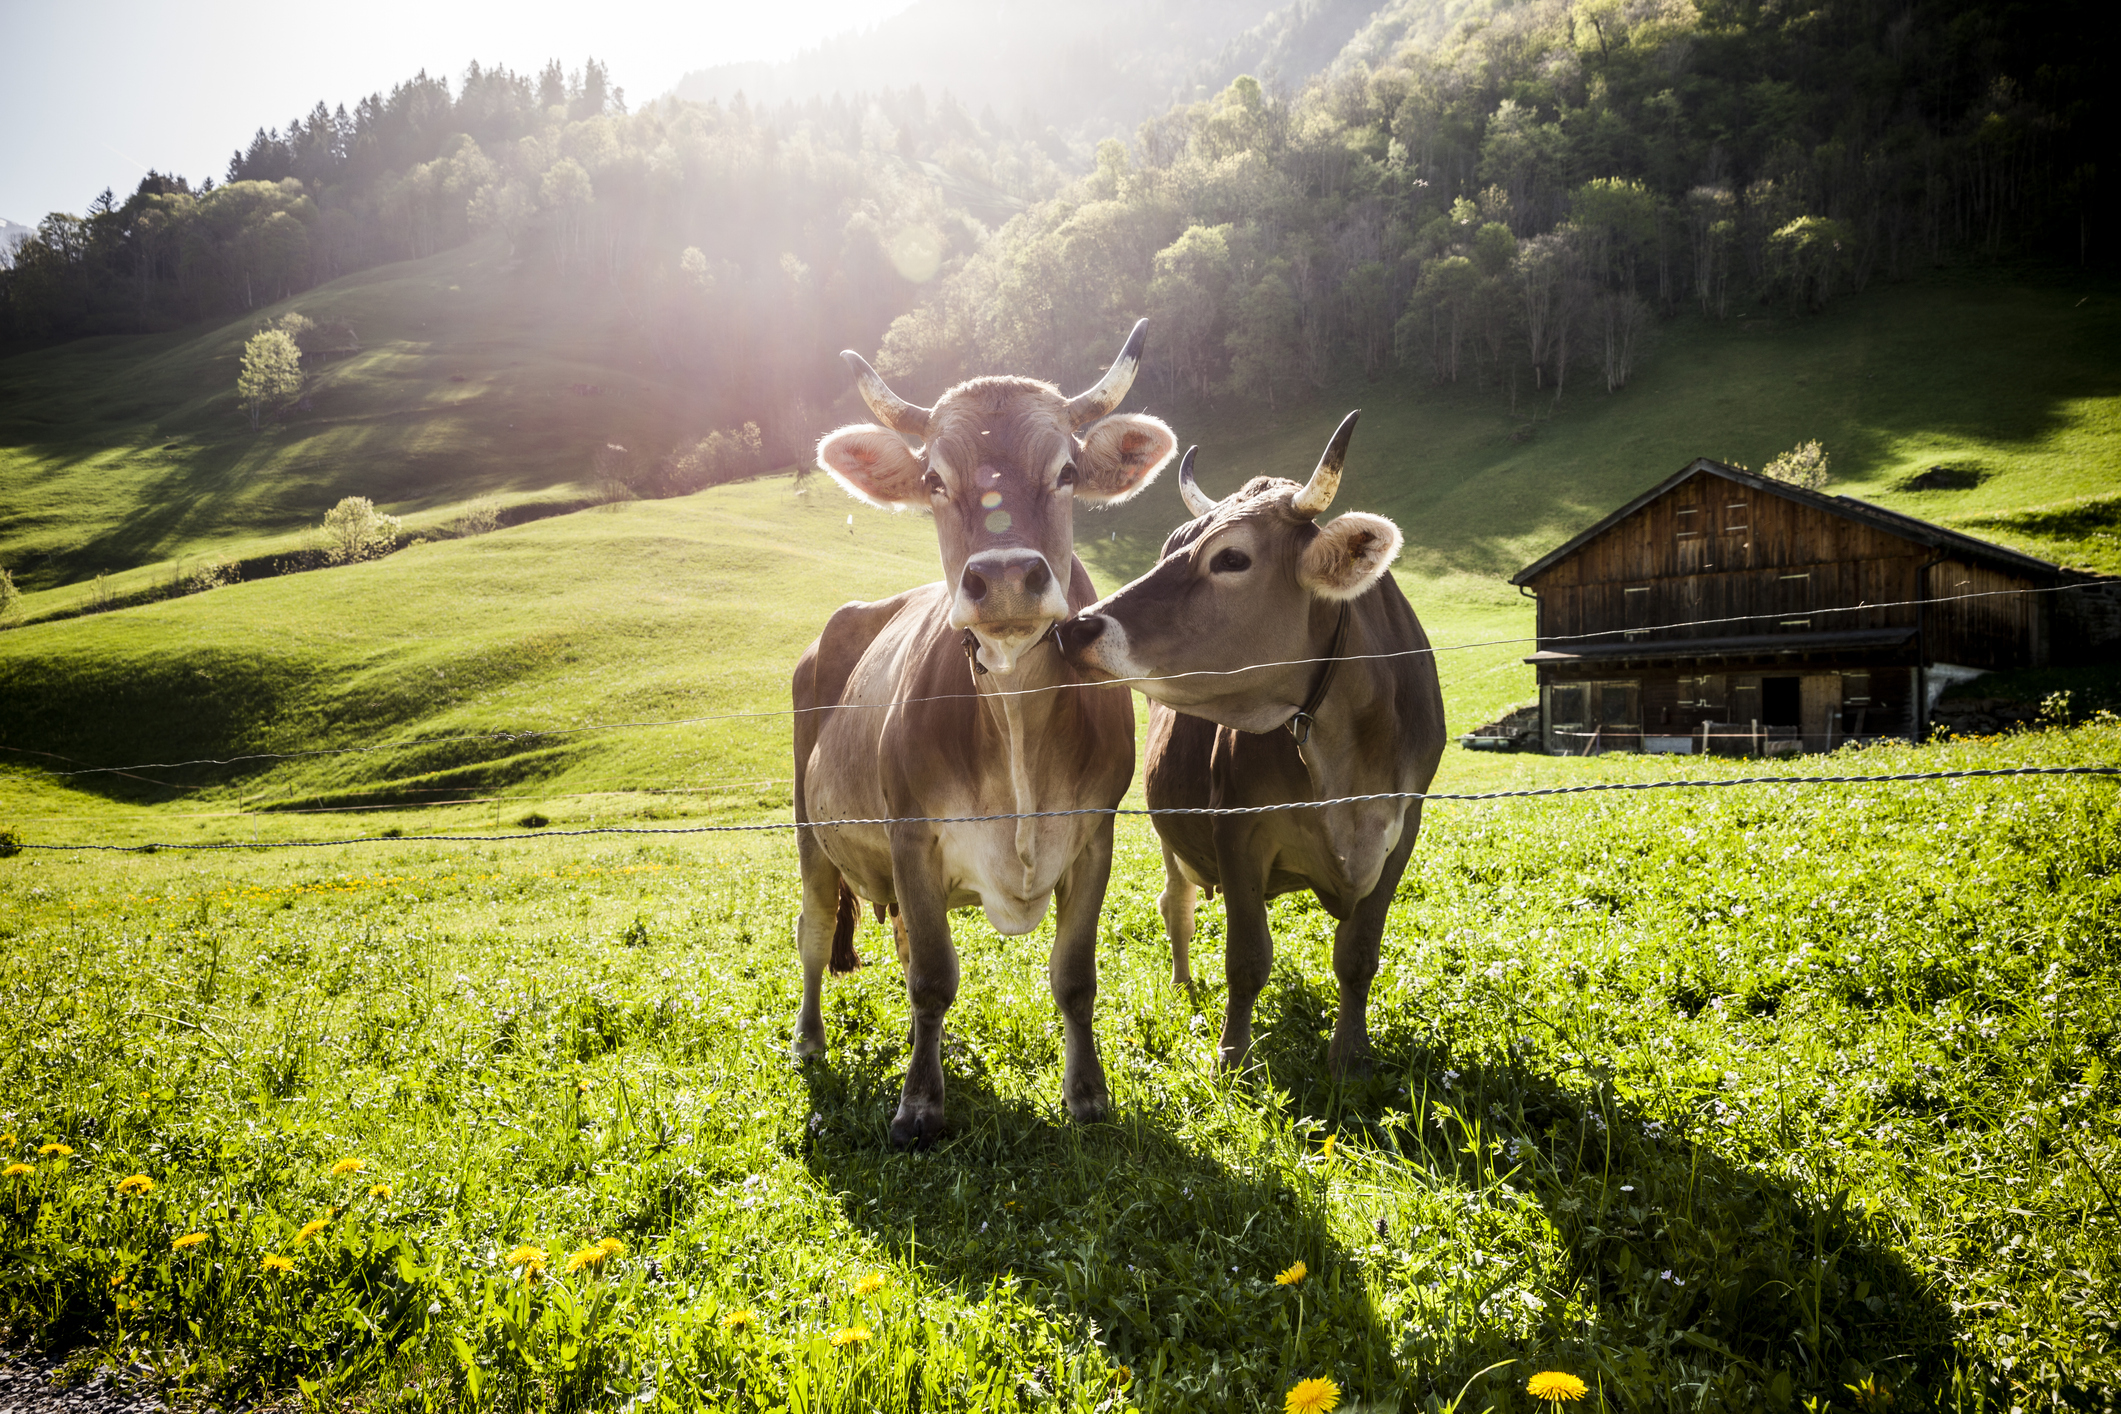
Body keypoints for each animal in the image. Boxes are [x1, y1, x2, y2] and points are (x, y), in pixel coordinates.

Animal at [793, 326, 1179, 1144]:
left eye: (1067, 470)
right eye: (933, 479)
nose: (1002, 577)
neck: (1013, 716)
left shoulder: (1093, 836)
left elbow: (1074, 976)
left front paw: (1087, 1094)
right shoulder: (911, 834)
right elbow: (934, 978)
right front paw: (917, 1106)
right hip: (811, 829)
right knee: (814, 929)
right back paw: (809, 1039)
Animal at [1056, 415, 1450, 1076]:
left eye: (1232, 558)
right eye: (1170, 547)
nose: (1074, 627)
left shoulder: (1403, 827)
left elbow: (1358, 954)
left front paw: (1351, 1055)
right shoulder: (1236, 826)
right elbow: (1246, 958)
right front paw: (1232, 1057)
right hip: (1172, 832)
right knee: (1176, 903)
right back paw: (1185, 986)